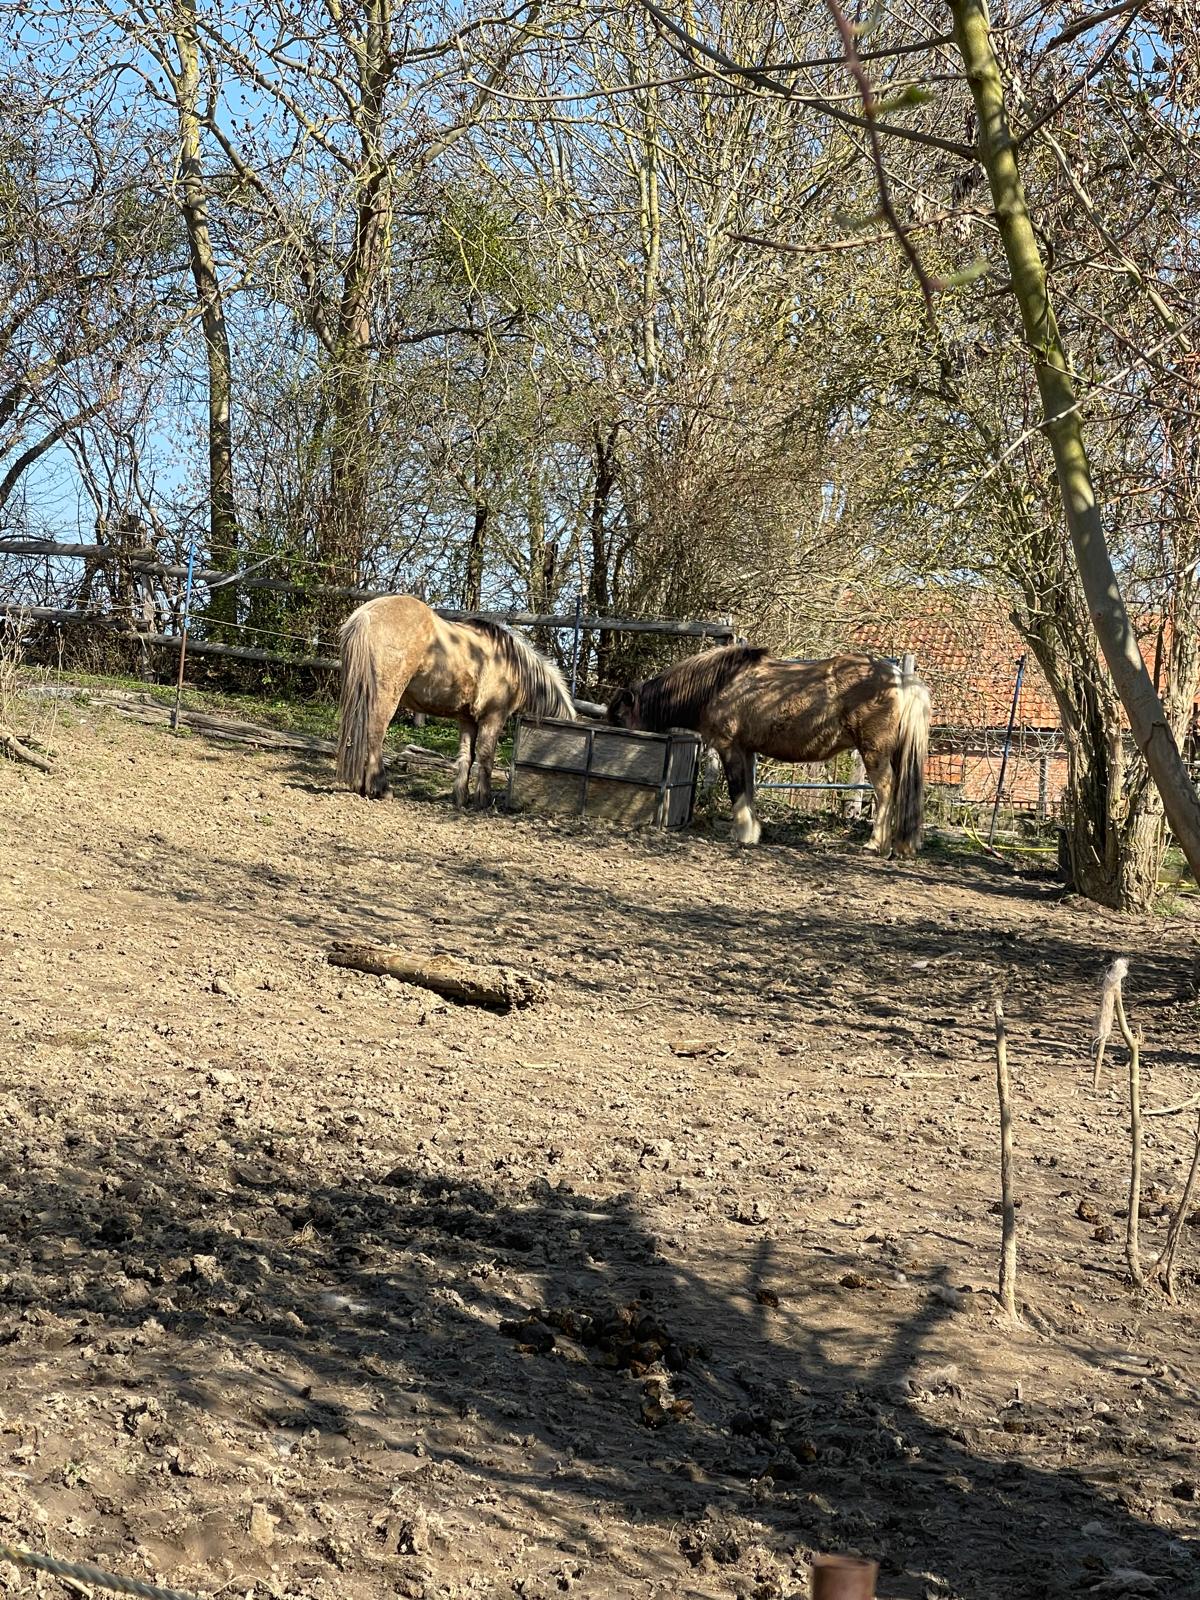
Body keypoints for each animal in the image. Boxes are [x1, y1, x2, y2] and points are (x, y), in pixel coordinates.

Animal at [337, 595, 575, 808]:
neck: (511, 663)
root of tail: (367, 614)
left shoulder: (467, 719)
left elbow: (467, 756)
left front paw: (461, 797)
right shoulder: (493, 717)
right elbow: (486, 756)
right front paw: (483, 800)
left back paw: (360, 785)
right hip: (386, 696)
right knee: (375, 735)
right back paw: (381, 788)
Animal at [607, 645, 931, 856]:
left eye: (620, 718)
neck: (718, 685)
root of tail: (899, 678)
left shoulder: (730, 748)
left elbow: (737, 790)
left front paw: (742, 833)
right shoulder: (747, 751)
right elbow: (749, 791)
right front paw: (751, 833)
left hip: (874, 753)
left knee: (886, 790)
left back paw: (876, 844)